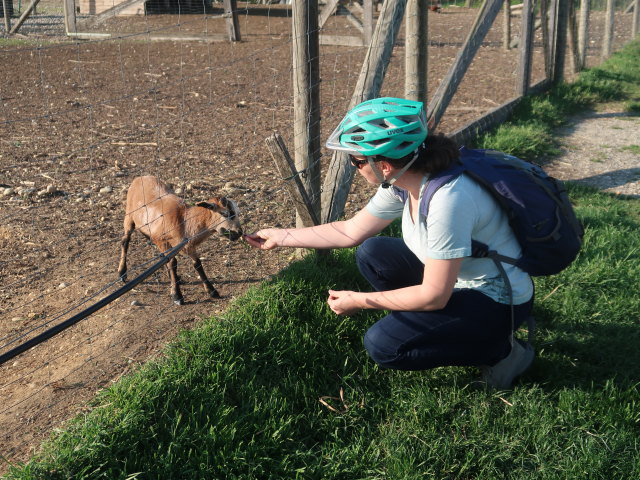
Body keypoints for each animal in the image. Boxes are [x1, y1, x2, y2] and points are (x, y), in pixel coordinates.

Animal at [117, 175, 242, 304]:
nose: (239, 233)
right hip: (129, 217)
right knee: (125, 241)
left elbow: (197, 264)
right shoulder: (162, 241)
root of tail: (141, 177)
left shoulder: (188, 245)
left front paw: (212, 291)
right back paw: (122, 273)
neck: (185, 220)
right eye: (226, 213)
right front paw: (177, 295)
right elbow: (172, 263)